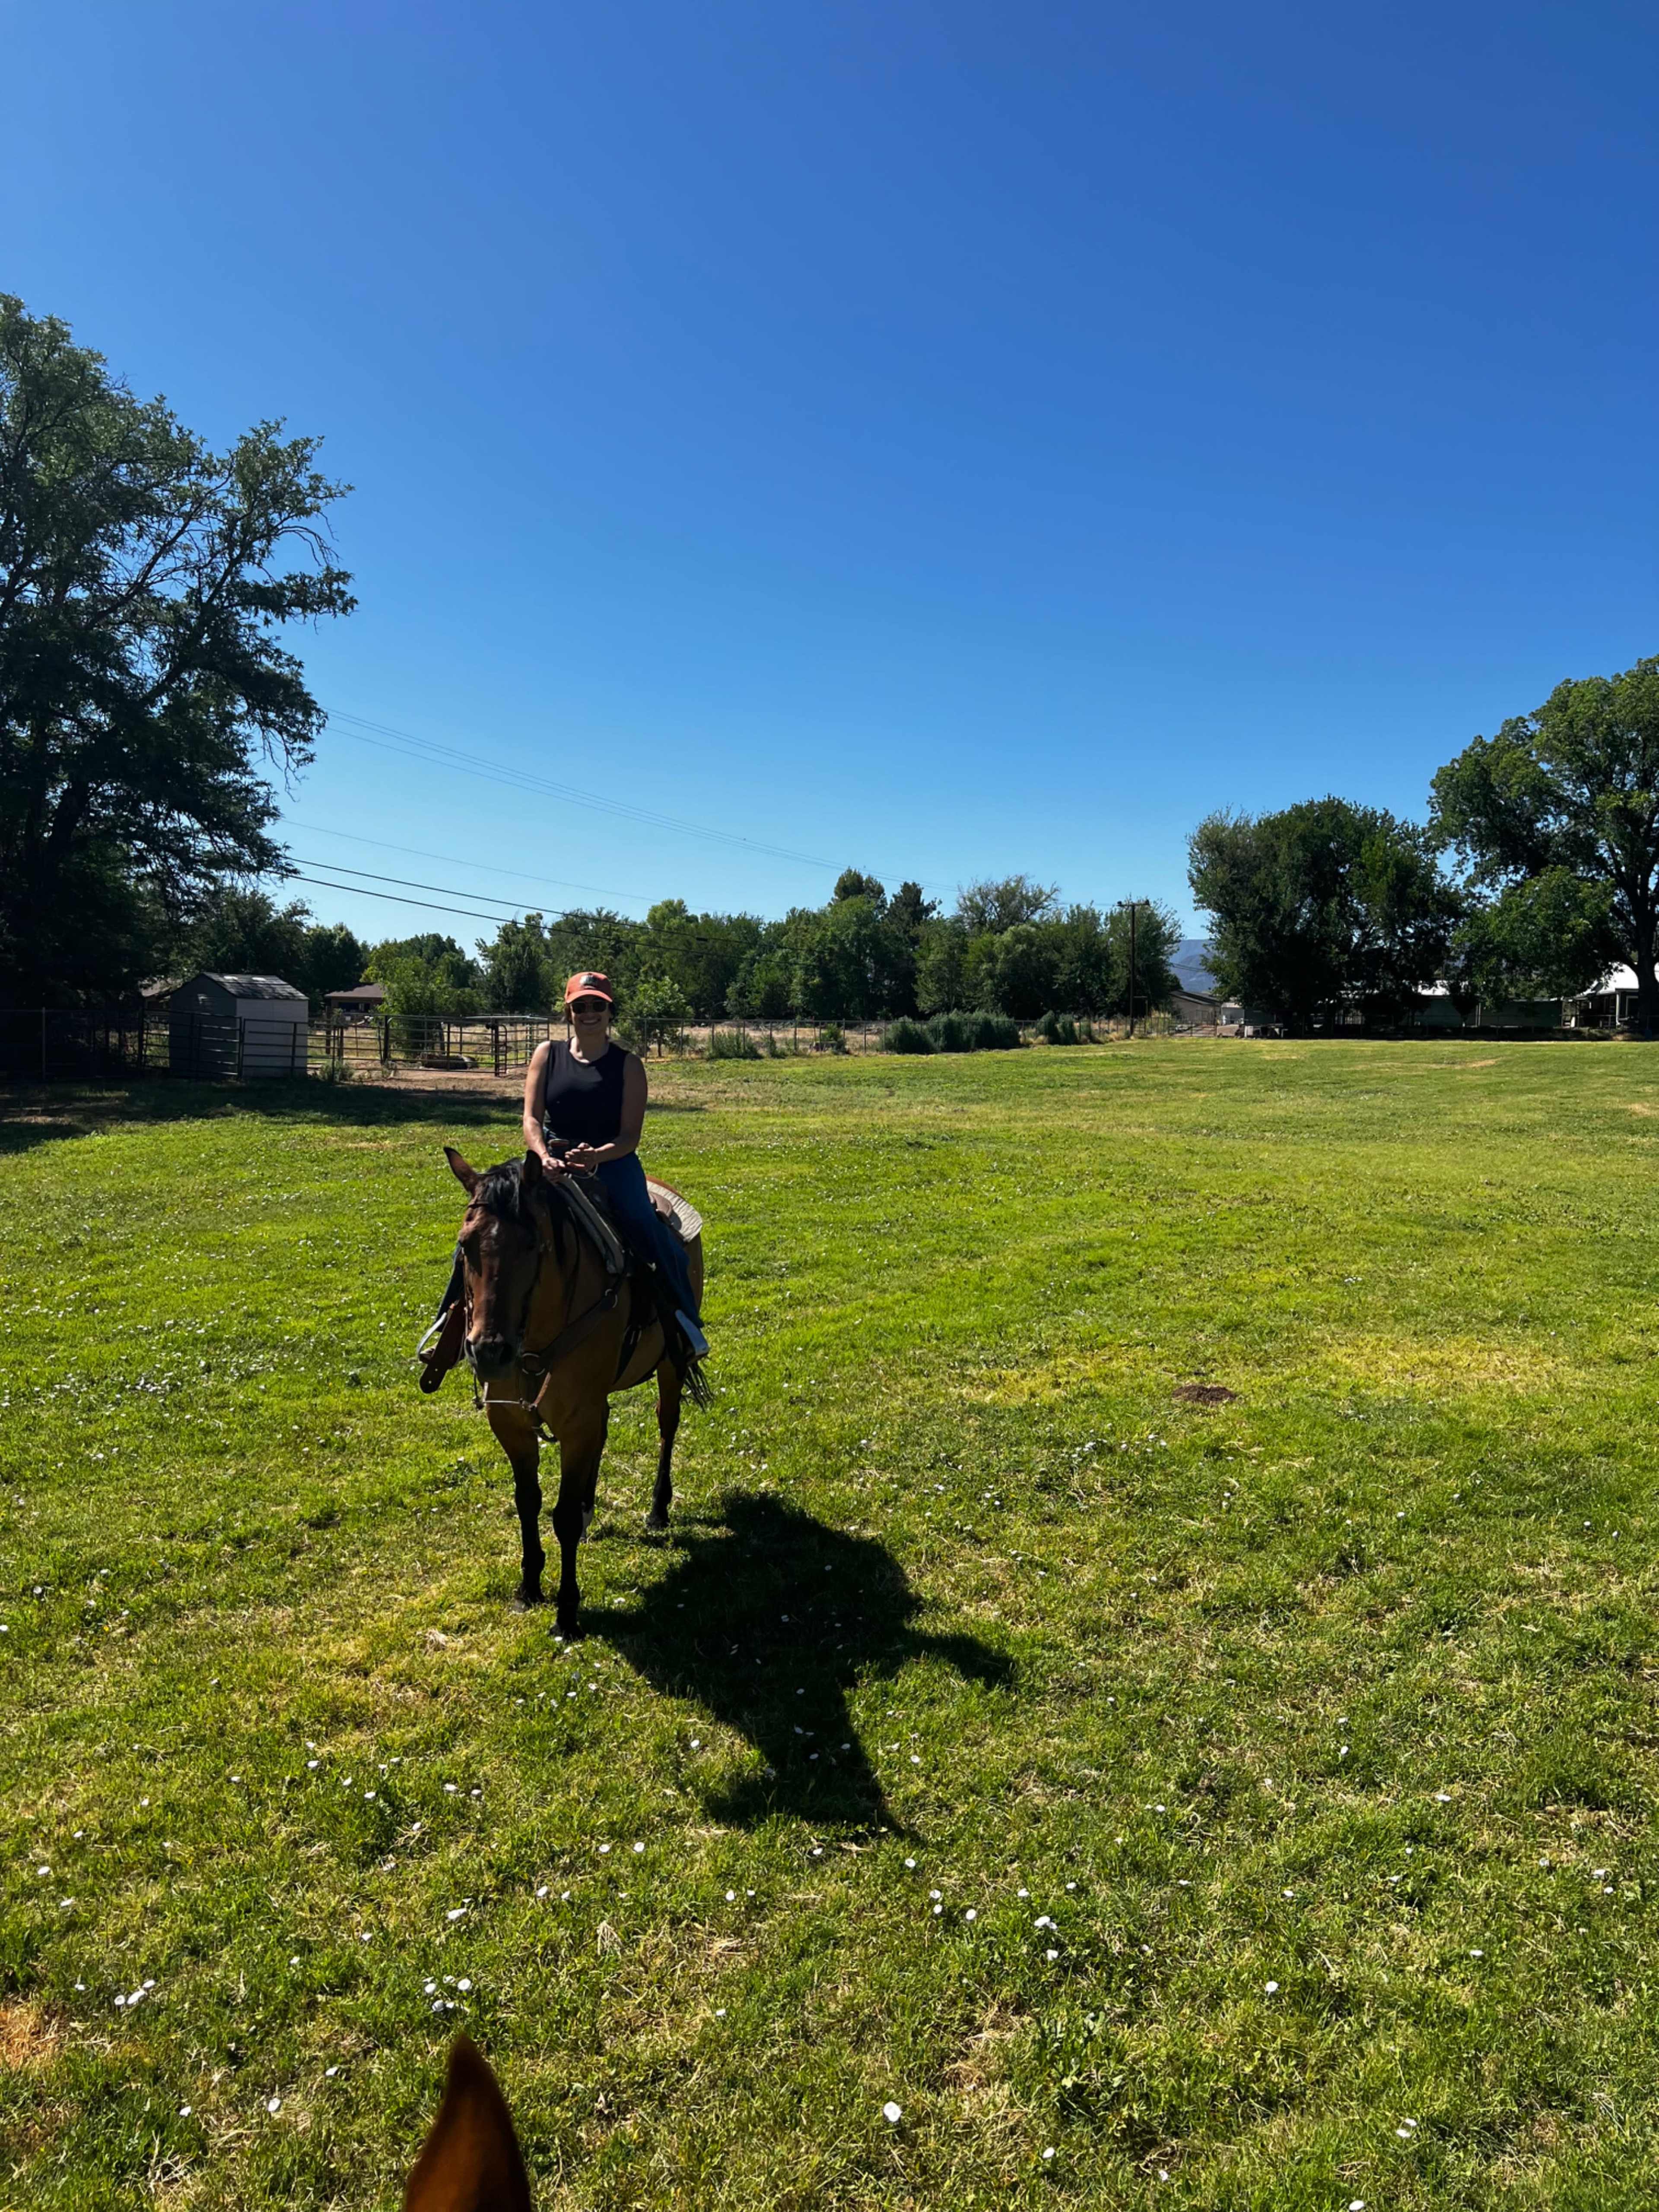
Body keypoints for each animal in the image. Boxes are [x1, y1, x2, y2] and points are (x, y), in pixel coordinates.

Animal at [440, 1146, 705, 1638]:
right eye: (465, 1245)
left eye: (532, 1245)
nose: (489, 1351)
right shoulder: (511, 1422)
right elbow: (528, 1501)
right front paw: (529, 1586)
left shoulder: (577, 1419)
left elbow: (559, 1515)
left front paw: (567, 1612)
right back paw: (588, 1511)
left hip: (670, 1365)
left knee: (667, 1423)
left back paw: (658, 1509)